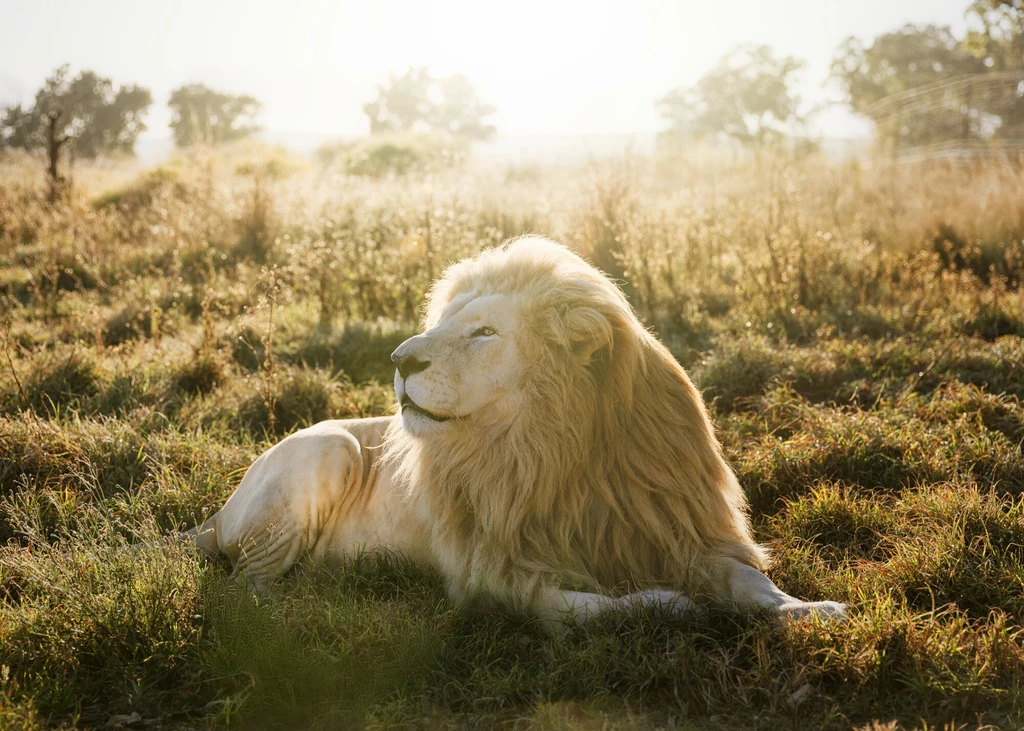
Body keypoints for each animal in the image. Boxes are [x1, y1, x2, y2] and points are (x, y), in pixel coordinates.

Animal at [188, 236, 843, 622]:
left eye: (484, 333)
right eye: (445, 323)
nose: (399, 359)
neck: (557, 451)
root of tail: (215, 515)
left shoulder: (670, 529)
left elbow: (746, 578)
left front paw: (809, 609)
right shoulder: (496, 577)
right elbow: (593, 609)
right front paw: (668, 604)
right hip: (330, 447)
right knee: (245, 588)